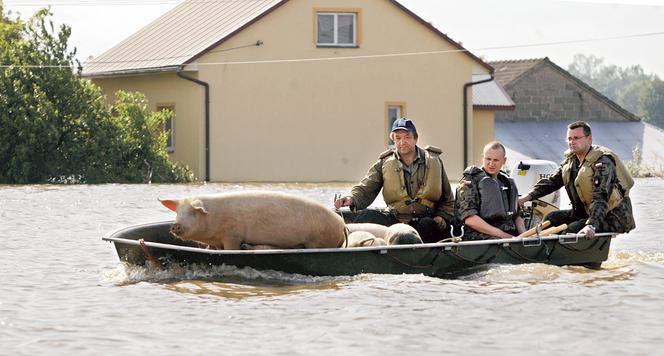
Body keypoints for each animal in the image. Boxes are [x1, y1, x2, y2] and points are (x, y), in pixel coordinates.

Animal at [160, 192, 348, 250]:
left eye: (193, 212)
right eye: (177, 212)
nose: (175, 225)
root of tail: (342, 224)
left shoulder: (232, 236)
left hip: (319, 242)